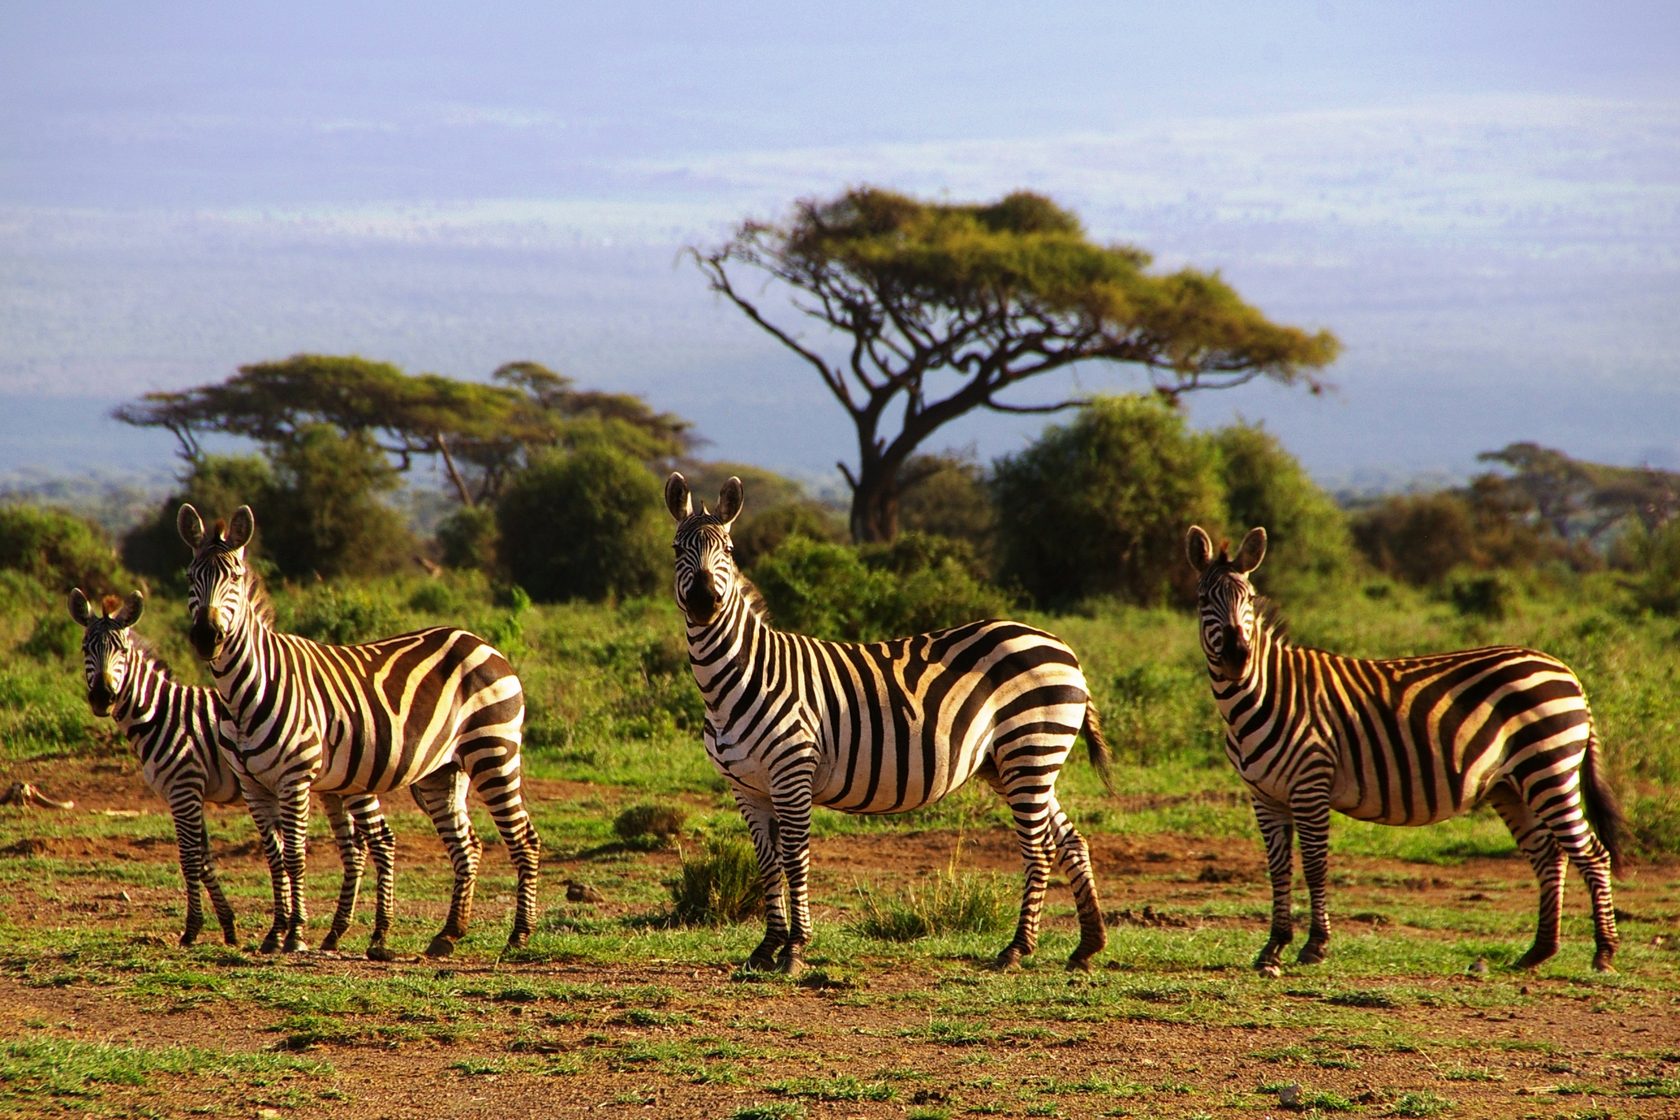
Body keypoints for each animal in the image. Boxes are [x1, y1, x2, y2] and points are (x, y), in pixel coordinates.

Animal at [73, 587, 401, 953]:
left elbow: (190, 859)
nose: (102, 697)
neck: (159, 714)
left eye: (122, 651)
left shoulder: (184, 786)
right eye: (86, 649)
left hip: (357, 783)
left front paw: (192, 929)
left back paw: (376, 935)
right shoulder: (186, 793)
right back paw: (336, 932)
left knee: (380, 840)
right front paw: (228, 927)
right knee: (355, 849)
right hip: (335, 786)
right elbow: (203, 859)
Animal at [174, 503, 537, 960]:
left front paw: (295, 933)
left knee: (524, 837)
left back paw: (518, 936)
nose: (207, 637)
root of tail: (482, 642)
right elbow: (274, 858)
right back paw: (448, 935)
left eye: (235, 577)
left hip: (493, 751)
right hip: (442, 771)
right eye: (190, 576)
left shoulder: (295, 777)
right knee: (466, 844)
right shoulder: (253, 785)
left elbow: (295, 856)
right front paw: (275, 933)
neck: (244, 692)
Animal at [661, 473, 1108, 973]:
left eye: (729, 550)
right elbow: (767, 862)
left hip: (1031, 749)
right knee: (1069, 840)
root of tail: (1062, 646)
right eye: (677, 548)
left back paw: (1017, 948)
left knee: (1038, 847)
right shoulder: (747, 788)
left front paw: (794, 949)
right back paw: (1086, 946)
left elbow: (795, 858)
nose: (704, 602)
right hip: (1013, 763)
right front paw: (766, 947)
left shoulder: (792, 774)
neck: (735, 682)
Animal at [1189, 527, 1619, 973]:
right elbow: (1278, 869)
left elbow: (1314, 864)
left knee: (1593, 853)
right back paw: (1538, 952)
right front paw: (1272, 948)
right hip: (1512, 786)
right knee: (1549, 854)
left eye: (1250, 599)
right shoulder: (1264, 796)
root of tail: (1567, 672)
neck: (1262, 695)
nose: (1237, 657)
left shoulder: (1311, 784)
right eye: (1203, 600)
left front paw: (1314, 945)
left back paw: (1603, 952)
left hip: (1549, 769)